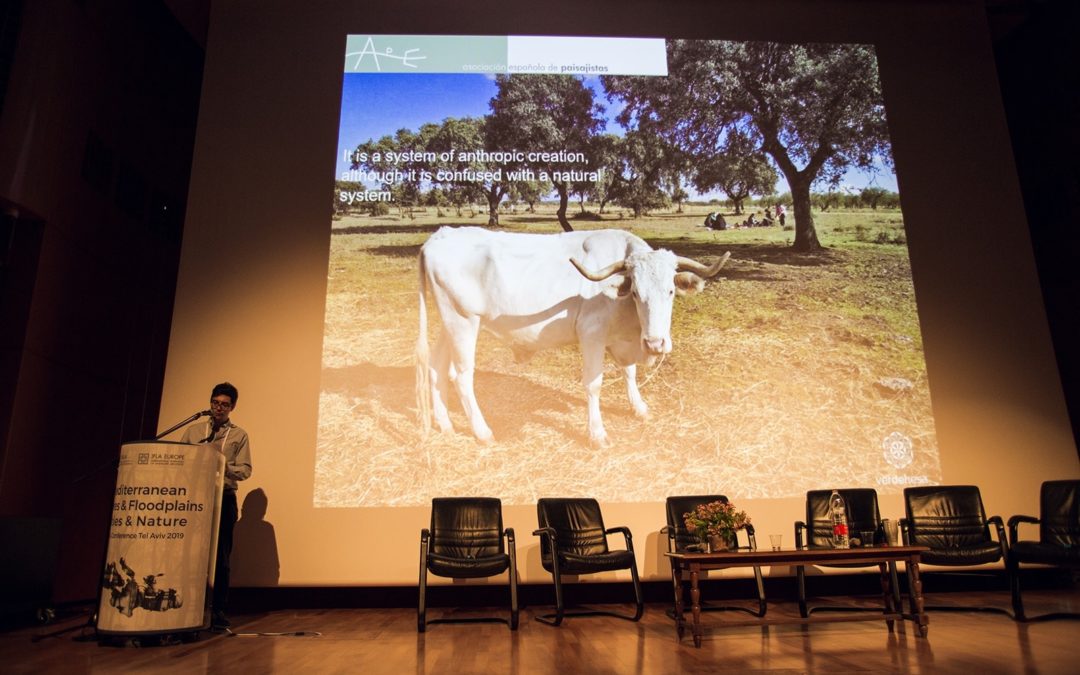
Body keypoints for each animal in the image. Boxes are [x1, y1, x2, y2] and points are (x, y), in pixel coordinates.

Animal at [416, 226, 730, 447]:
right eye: (636, 292)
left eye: (671, 291)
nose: (655, 343)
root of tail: (441, 235)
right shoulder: (592, 334)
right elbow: (594, 385)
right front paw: (597, 434)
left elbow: (629, 372)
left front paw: (639, 408)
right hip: (463, 321)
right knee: (461, 376)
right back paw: (483, 432)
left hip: (449, 323)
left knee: (436, 367)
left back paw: (445, 424)